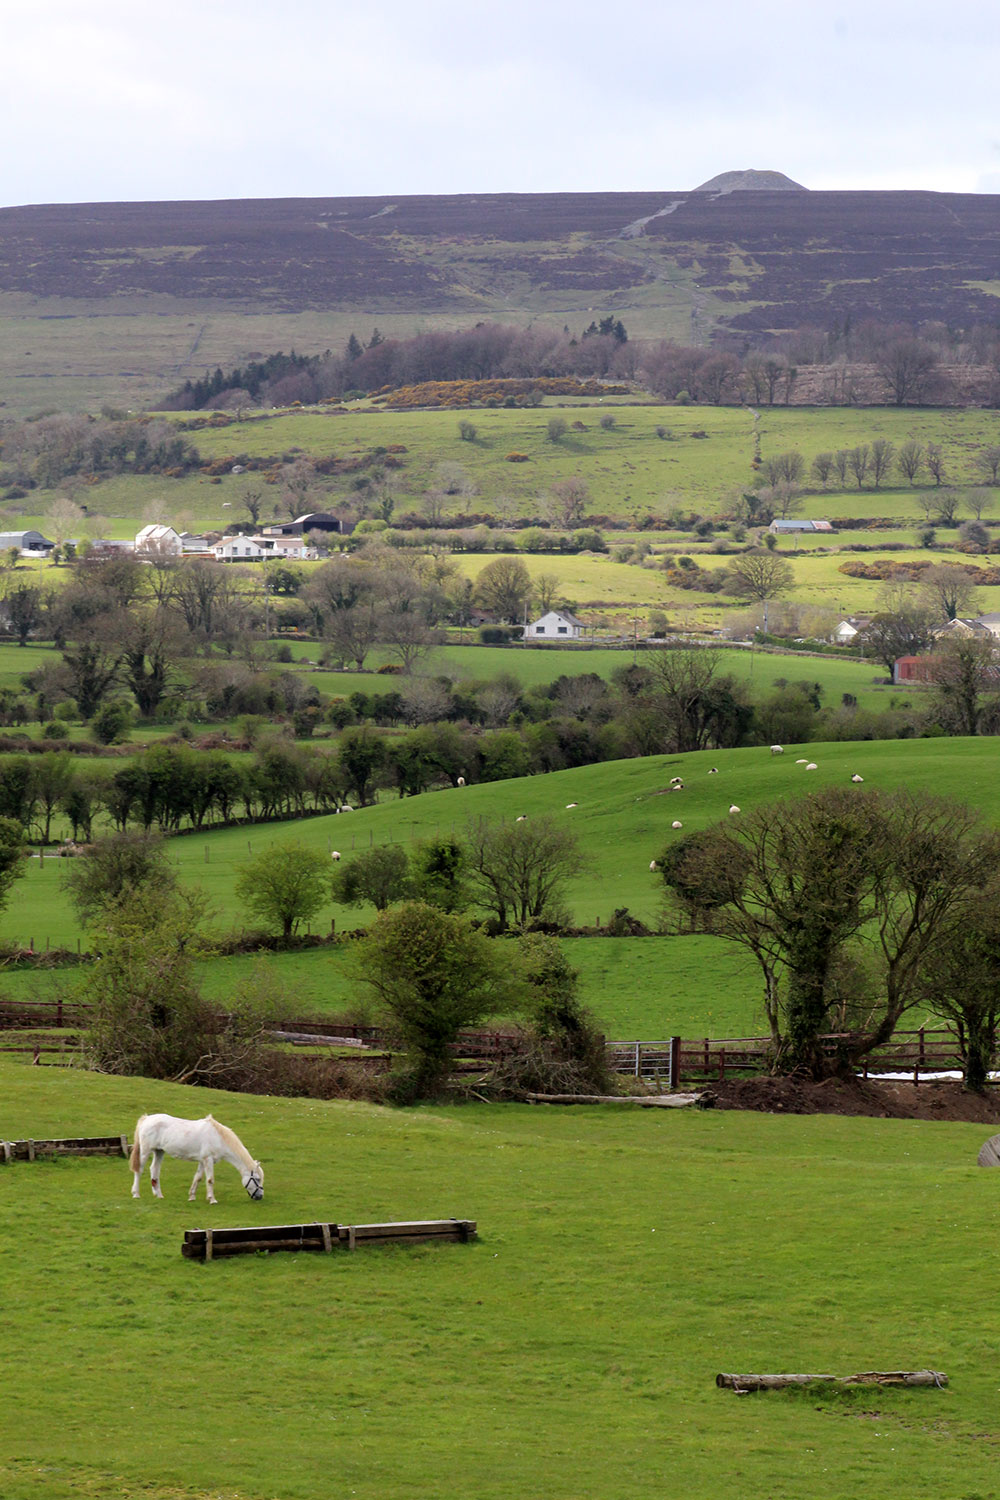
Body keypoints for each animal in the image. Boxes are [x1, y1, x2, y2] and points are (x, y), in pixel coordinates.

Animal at [127, 1116, 263, 1206]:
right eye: (257, 1179)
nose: (260, 1196)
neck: (218, 1137)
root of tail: (146, 1119)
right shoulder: (208, 1160)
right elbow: (210, 1180)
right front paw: (212, 1199)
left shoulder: (203, 1161)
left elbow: (197, 1178)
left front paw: (192, 1196)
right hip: (145, 1151)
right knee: (139, 1170)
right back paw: (136, 1194)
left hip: (159, 1151)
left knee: (154, 1170)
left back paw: (159, 1195)